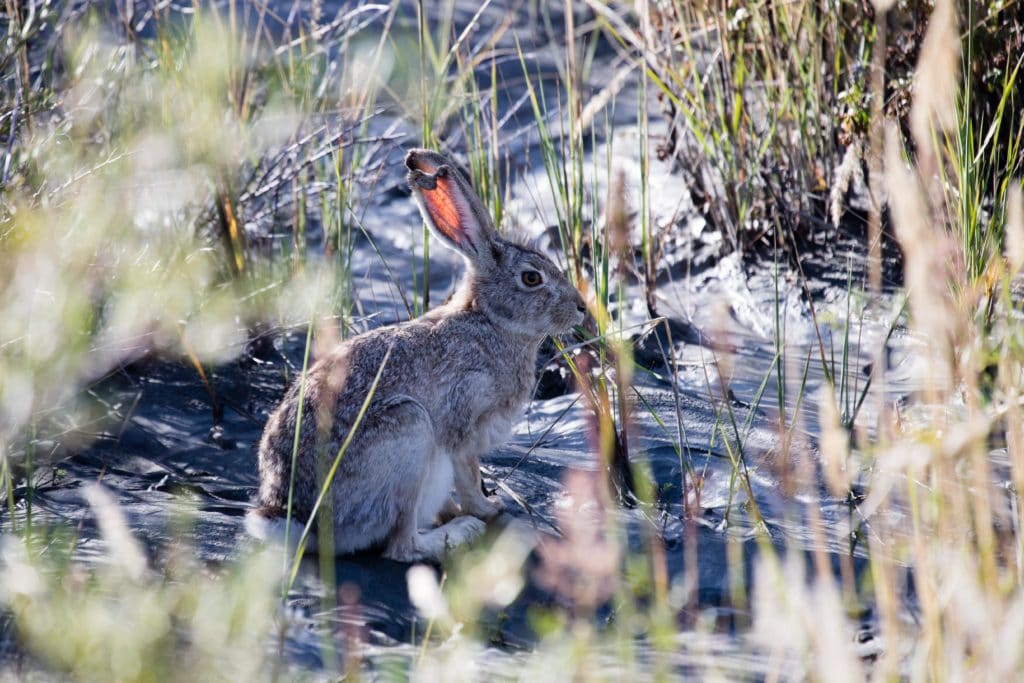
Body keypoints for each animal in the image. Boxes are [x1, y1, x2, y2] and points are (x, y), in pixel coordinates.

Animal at [243, 148, 589, 561]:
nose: (582, 308)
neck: (490, 320)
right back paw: (461, 532)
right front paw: (488, 509)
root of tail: (296, 518)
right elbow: (469, 476)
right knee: (402, 546)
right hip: (409, 432)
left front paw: (460, 509)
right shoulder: (464, 421)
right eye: (532, 278)